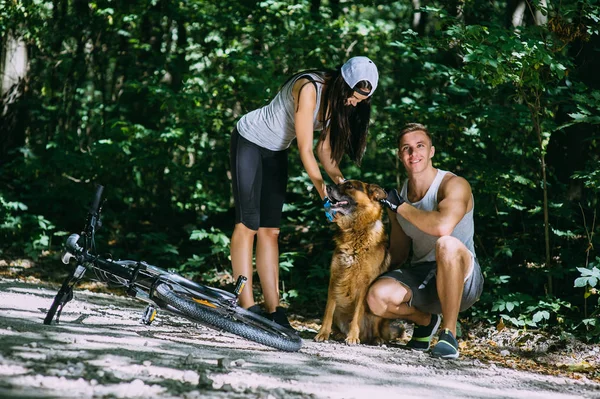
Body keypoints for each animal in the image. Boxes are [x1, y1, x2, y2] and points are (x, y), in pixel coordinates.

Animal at [314, 180, 394, 346]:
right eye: (341, 183)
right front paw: (323, 333)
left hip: (378, 313)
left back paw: (376, 339)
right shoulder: (335, 278)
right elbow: (328, 310)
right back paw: (338, 334)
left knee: (375, 329)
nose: (327, 187)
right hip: (340, 310)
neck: (356, 230)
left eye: (350, 186)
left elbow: (357, 314)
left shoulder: (364, 285)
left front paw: (352, 336)